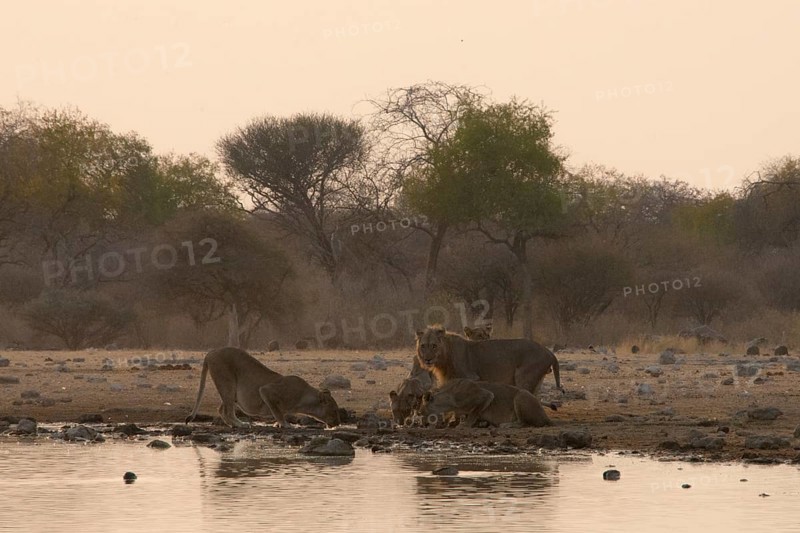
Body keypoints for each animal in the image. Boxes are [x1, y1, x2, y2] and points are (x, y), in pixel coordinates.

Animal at [185, 347, 341, 428]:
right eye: (334, 410)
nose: (338, 423)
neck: (303, 400)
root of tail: (210, 352)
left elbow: (280, 412)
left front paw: (278, 424)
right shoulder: (267, 391)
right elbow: (277, 411)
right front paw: (285, 425)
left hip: (229, 391)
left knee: (221, 409)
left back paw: (234, 424)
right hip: (227, 382)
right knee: (227, 411)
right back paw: (241, 424)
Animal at [415, 325, 564, 394]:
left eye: (434, 346)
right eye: (423, 346)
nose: (427, 360)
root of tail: (550, 352)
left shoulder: (472, 378)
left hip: (524, 376)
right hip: (537, 381)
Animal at [419, 379, 552, 428]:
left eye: (421, 412)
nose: (423, 424)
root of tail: (546, 417)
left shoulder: (485, 395)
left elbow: (474, 412)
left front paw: (465, 425)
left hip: (521, 395)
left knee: (523, 423)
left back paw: (506, 425)